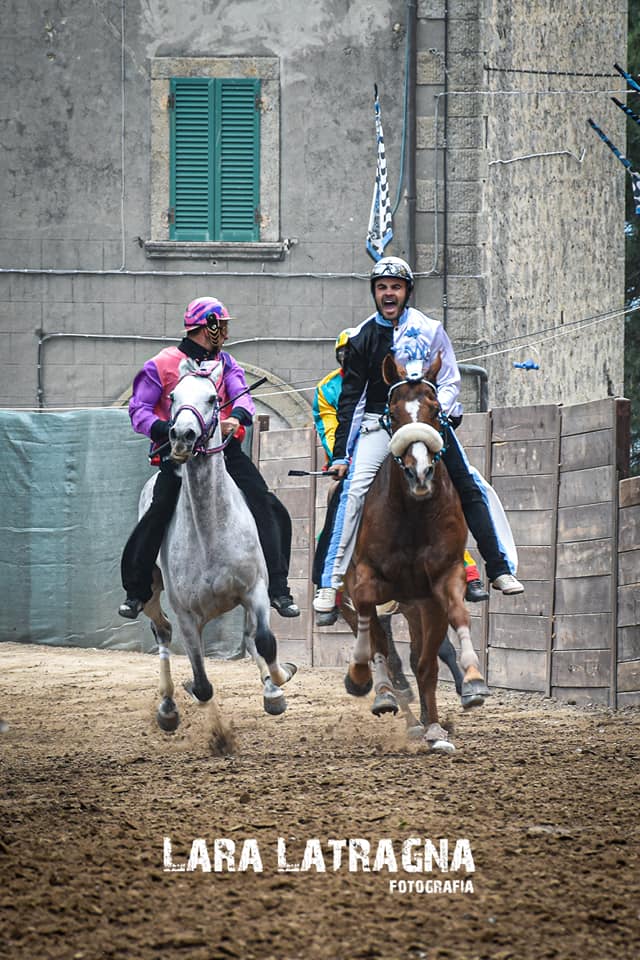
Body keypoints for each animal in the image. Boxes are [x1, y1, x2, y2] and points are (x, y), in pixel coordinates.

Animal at [140, 356, 296, 732]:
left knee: (253, 638)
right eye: (173, 396)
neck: (210, 530)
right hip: (152, 593)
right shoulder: (186, 615)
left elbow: (264, 641)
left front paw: (278, 683)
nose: (182, 436)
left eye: (213, 398)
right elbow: (202, 684)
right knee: (162, 632)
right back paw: (168, 706)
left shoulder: (254, 590)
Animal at [342, 348, 488, 752]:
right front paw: (362, 677)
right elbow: (375, 637)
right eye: (392, 411)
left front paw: (467, 686)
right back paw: (384, 696)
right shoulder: (365, 581)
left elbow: (435, 652)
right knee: (381, 647)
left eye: (435, 408)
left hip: (416, 606)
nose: (419, 472)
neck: (412, 514)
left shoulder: (440, 582)